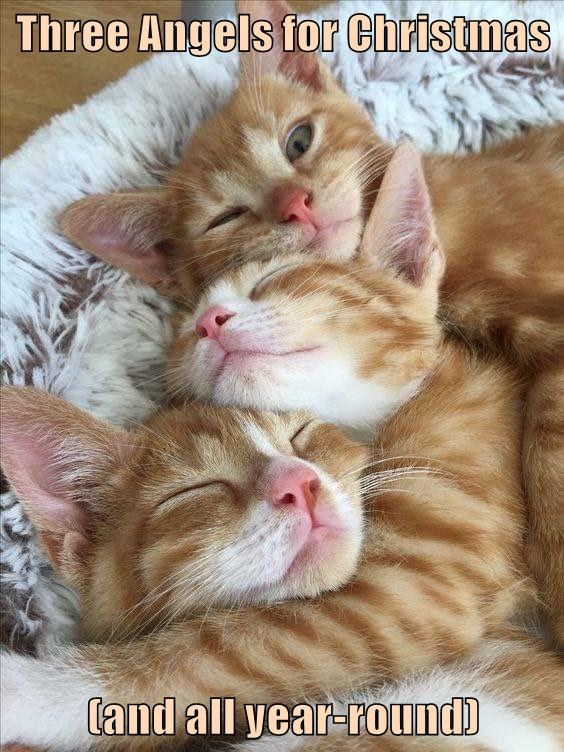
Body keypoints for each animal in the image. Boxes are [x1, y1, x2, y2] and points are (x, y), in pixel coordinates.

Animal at [1, 168, 536, 748]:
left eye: (277, 277)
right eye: (198, 490)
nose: (211, 320)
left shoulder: (414, 586)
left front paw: (27, 690)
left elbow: (197, 659)